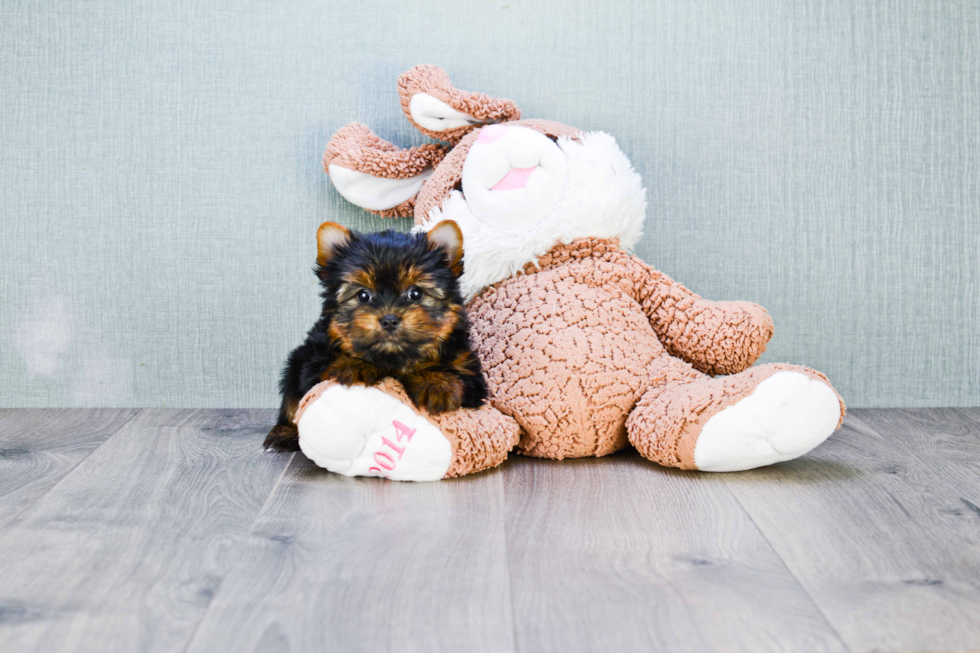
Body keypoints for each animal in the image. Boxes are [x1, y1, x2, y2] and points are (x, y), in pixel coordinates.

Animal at [262, 222, 488, 450]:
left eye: (415, 293)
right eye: (363, 295)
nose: (389, 320)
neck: (393, 358)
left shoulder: (470, 374)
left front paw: (436, 383)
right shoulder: (314, 362)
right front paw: (355, 365)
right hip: (296, 364)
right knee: (292, 400)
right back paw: (284, 432)